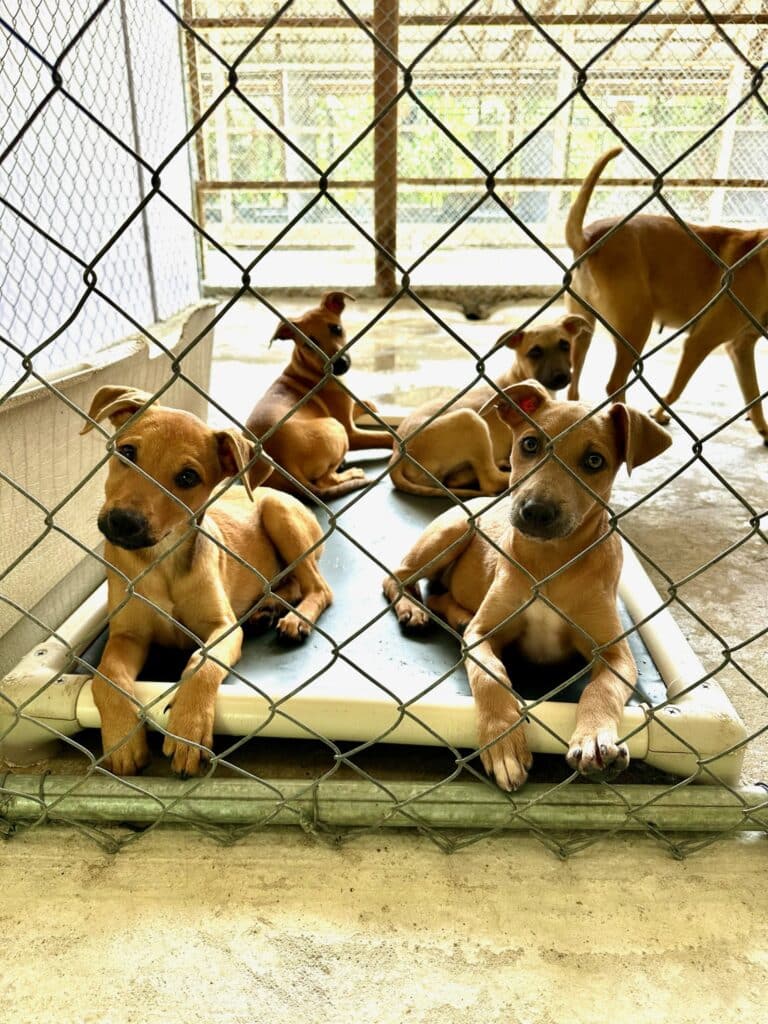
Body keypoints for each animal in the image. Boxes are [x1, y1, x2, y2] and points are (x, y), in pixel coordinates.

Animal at [81, 385, 333, 774]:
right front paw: (122, 737)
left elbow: (202, 664)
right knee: (289, 583)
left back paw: (296, 618)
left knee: (320, 588)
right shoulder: (127, 634)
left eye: (187, 478)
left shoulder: (223, 627)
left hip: (281, 516)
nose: (123, 522)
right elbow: (106, 675)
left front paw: (188, 728)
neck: (163, 561)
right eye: (127, 452)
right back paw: (267, 608)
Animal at [246, 290, 393, 501]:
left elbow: (362, 405)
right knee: (326, 480)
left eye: (336, 328)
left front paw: (370, 405)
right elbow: (387, 437)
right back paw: (352, 473)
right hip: (337, 428)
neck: (310, 369)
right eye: (310, 344)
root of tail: (284, 465)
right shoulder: (350, 430)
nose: (339, 364)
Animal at [385, 380, 671, 786]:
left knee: (438, 594)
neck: (549, 563)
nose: (535, 511)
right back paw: (412, 608)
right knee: (396, 577)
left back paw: (455, 614)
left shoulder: (615, 654)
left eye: (595, 461)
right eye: (530, 444)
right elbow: (491, 676)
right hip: (451, 532)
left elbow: (602, 689)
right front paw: (503, 742)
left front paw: (595, 736)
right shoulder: (483, 635)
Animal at [387, 315, 593, 499]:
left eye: (565, 345)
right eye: (535, 352)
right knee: (490, 480)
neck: (518, 375)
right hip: (470, 419)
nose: (561, 377)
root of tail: (398, 453)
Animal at [565, 147, 768, 444]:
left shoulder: (742, 347)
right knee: (615, 384)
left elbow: (754, 397)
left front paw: (764, 429)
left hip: (584, 328)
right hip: (636, 328)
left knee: (575, 383)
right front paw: (659, 412)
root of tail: (589, 237)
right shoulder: (701, 342)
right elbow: (676, 389)